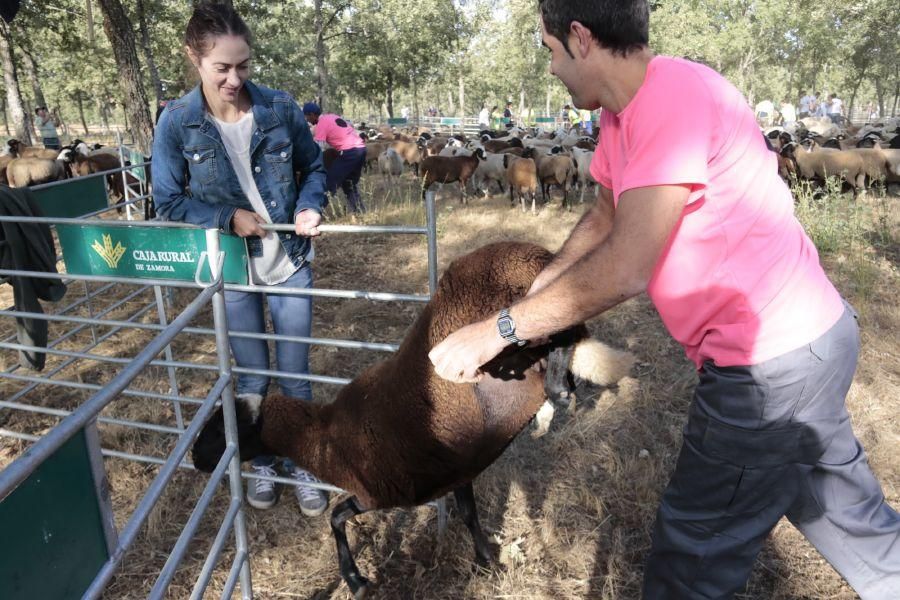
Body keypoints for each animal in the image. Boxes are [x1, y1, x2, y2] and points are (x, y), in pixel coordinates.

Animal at [193, 240, 632, 600]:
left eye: (219, 427)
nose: (196, 460)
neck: (326, 441)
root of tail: (537, 254)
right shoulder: (457, 472)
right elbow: (468, 514)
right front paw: (486, 560)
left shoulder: (376, 492)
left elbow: (336, 516)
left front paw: (355, 580)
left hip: (513, 312)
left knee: (556, 332)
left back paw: (558, 387)